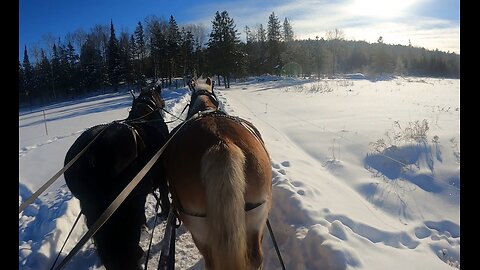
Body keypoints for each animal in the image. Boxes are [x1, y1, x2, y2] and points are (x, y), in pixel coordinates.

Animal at [62, 87, 170, 270]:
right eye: (159, 96)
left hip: (95, 209)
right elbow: (164, 197)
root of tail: (91, 154)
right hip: (127, 203)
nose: (164, 104)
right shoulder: (161, 178)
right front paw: (165, 213)